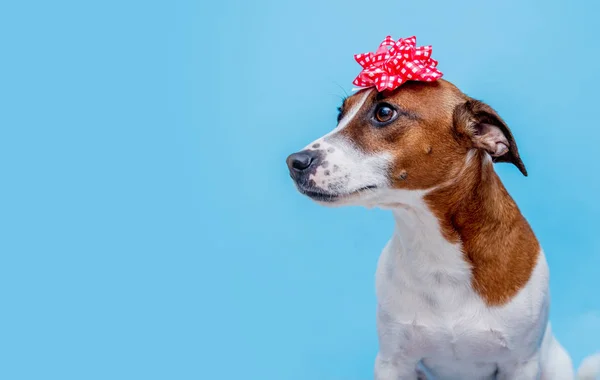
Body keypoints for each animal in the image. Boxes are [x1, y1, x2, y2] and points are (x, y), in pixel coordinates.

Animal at [288, 78, 600, 378]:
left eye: (384, 112)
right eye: (340, 114)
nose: (294, 162)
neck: (435, 245)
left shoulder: (520, 364)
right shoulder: (393, 362)